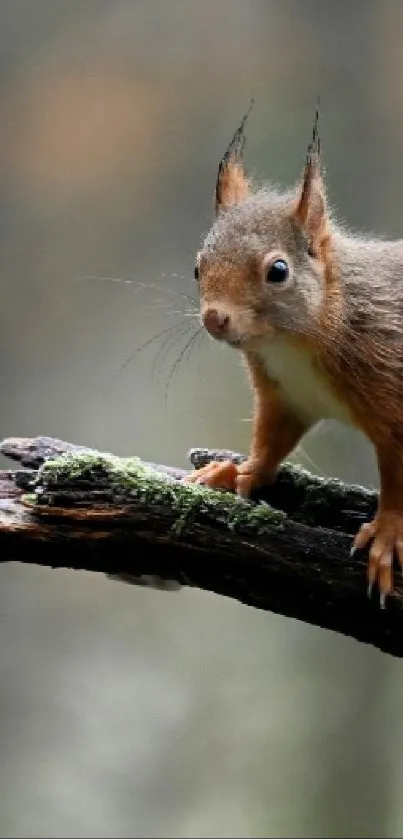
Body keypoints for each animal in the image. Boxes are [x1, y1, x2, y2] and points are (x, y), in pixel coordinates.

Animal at [185, 103, 403, 604]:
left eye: (278, 270)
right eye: (197, 268)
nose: (214, 319)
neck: (292, 343)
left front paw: (387, 533)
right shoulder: (287, 395)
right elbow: (271, 440)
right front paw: (236, 471)